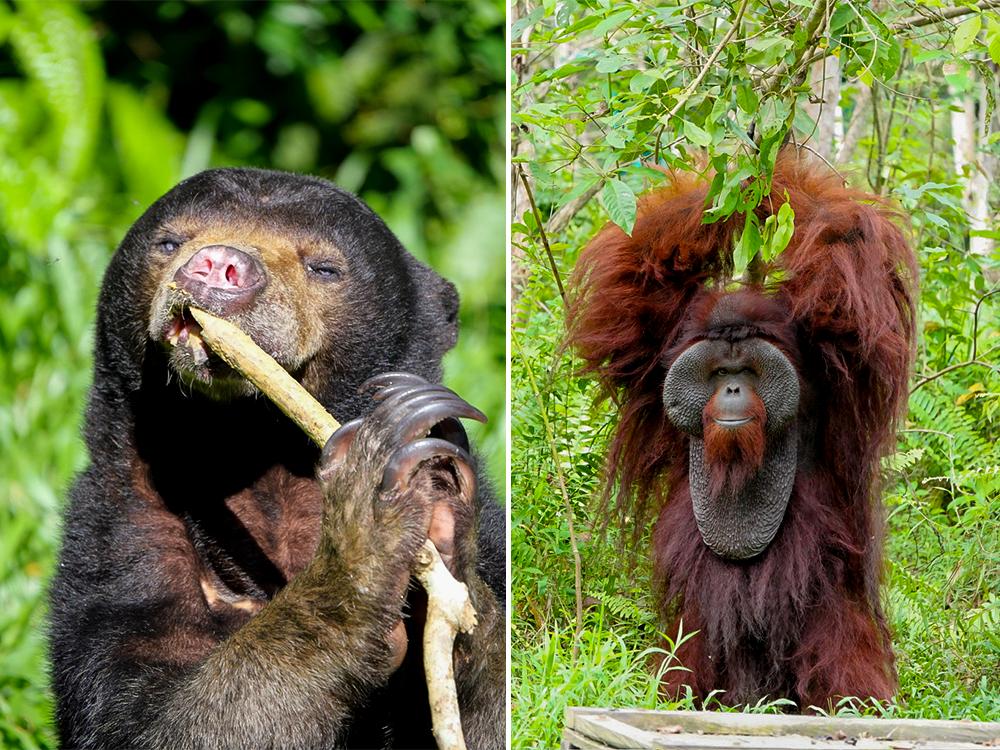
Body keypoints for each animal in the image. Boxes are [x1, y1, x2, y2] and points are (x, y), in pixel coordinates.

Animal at [48, 168, 506, 749]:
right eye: (169, 242)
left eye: (325, 267)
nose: (218, 266)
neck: (257, 450)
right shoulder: (118, 543)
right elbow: (167, 719)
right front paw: (371, 508)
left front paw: (443, 508)